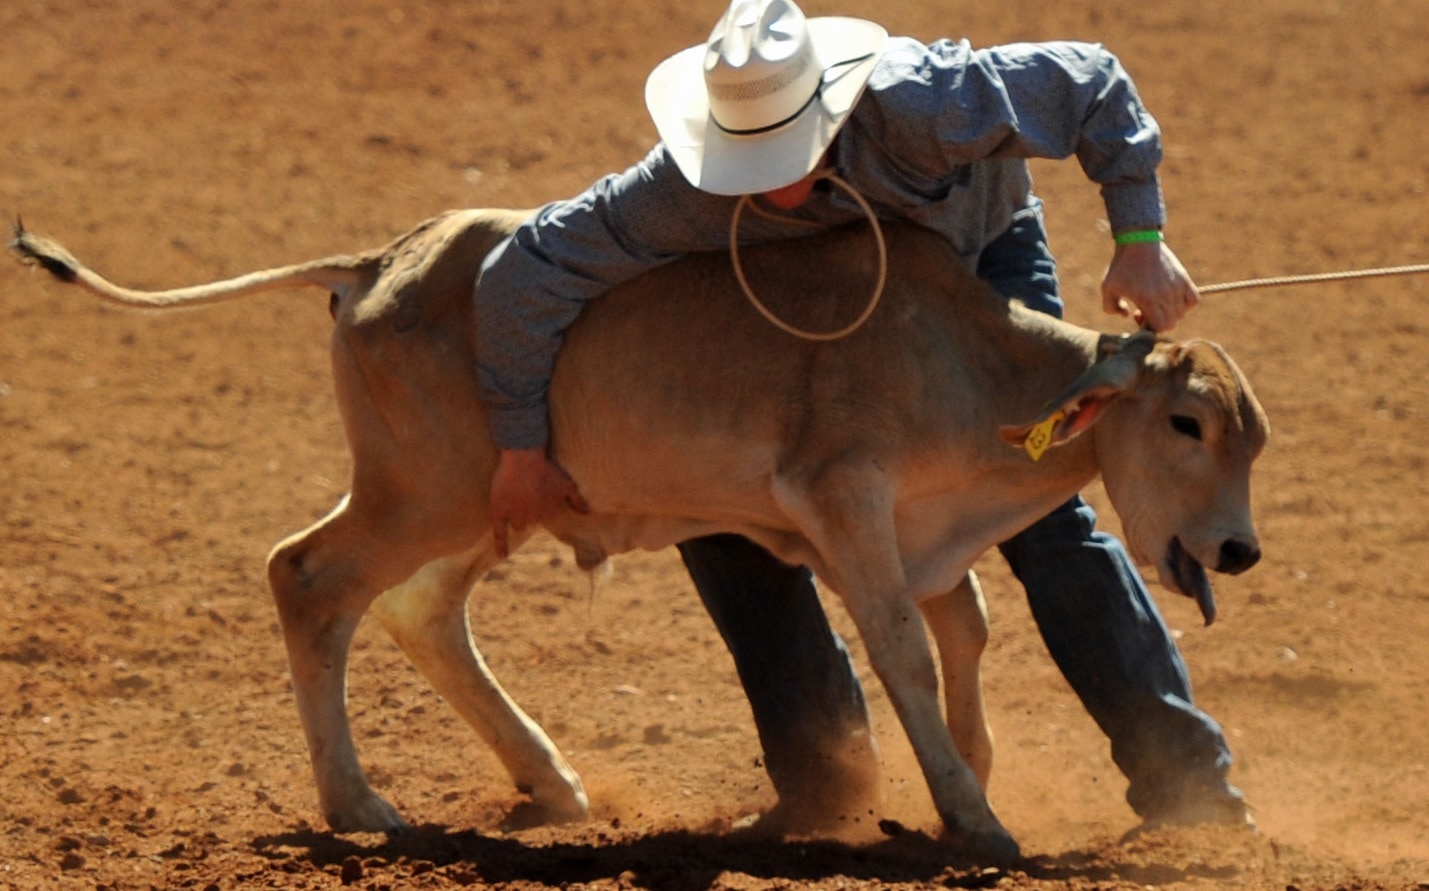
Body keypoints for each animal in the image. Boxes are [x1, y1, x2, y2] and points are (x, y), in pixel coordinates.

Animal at [10, 208, 1268, 864]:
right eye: (1185, 423)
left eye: (1251, 435)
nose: (1238, 552)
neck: (961, 358)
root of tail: (376, 263)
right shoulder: (847, 506)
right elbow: (907, 651)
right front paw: (973, 817)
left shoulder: (920, 538)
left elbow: (963, 636)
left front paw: (962, 787)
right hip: (419, 496)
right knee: (308, 579)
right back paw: (360, 807)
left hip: (484, 507)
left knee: (418, 612)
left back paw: (550, 783)